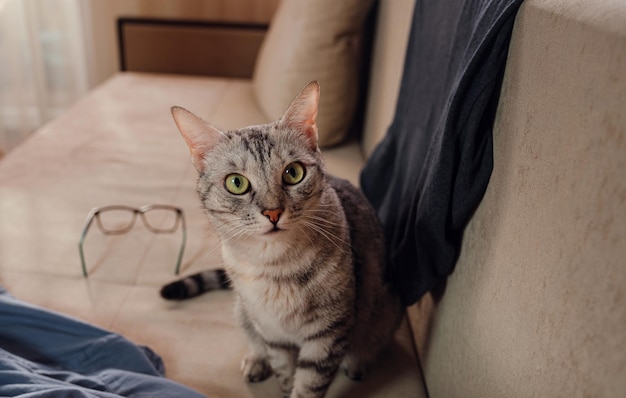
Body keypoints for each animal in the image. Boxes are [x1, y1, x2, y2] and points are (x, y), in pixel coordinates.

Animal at [161, 81, 402, 398]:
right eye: (236, 183)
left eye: (293, 173)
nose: (273, 212)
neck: (274, 267)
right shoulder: (270, 330)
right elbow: (282, 368)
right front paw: (279, 378)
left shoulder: (329, 332)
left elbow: (309, 384)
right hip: (241, 310)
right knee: (252, 338)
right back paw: (255, 361)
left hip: (385, 309)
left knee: (370, 342)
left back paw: (358, 362)